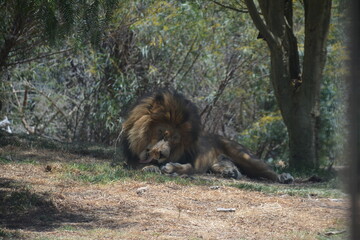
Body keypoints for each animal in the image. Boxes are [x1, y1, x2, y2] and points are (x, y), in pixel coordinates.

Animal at [122, 90, 294, 184]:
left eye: (175, 141)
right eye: (161, 132)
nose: (162, 154)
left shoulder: (191, 162)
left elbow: (187, 167)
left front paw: (170, 168)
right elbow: (136, 165)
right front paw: (151, 167)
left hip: (246, 156)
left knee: (268, 171)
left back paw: (284, 177)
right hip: (217, 164)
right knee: (231, 168)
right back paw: (230, 172)